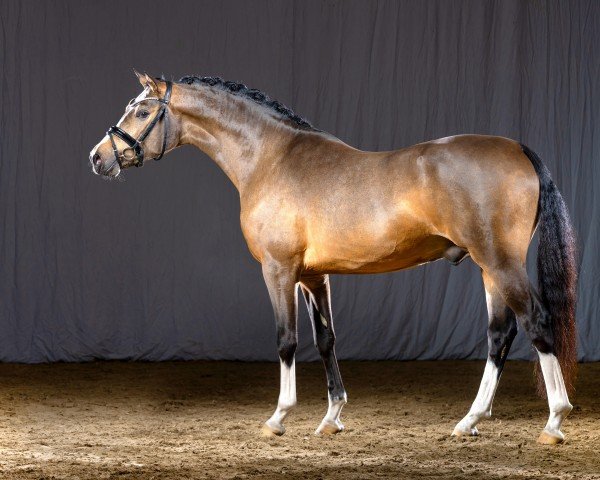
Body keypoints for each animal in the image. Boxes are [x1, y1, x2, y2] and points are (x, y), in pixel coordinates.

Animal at [89, 72, 576, 446]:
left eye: (142, 111)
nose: (97, 158)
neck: (271, 159)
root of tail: (518, 149)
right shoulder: (314, 277)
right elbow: (326, 341)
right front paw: (331, 418)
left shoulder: (278, 270)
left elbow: (286, 340)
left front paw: (278, 418)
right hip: (487, 268)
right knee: (500, 334)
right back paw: (469, 421)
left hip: (500, 263)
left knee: (536, 322)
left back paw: (554, 421)